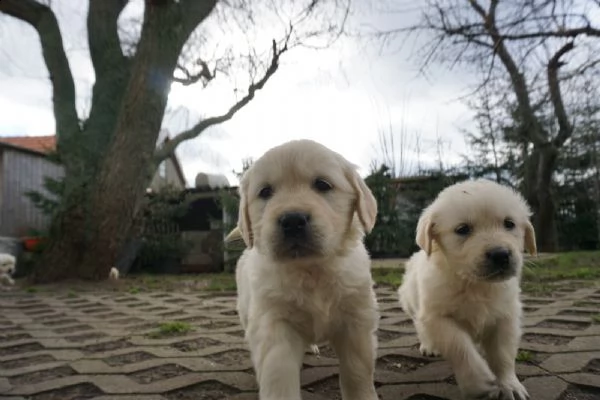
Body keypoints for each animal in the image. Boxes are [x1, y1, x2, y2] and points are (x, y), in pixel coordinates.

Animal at [232, 140, 378, 400]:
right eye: (265, 192)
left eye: (322, 185)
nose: (292, 220)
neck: (311, 270)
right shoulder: (273, 322)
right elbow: (278, 371)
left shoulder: (356, 321)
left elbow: (357, 370)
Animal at [398, 180, 536, 400]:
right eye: (463, 229)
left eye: (509, 223)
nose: (500, 254)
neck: (474, 285)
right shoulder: (437, 317)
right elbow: (460, 346)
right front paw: (478, 382)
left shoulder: (505, 317)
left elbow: (503, 355)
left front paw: (510, 385)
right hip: (414, 306)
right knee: (421, 327)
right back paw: (429, 346)